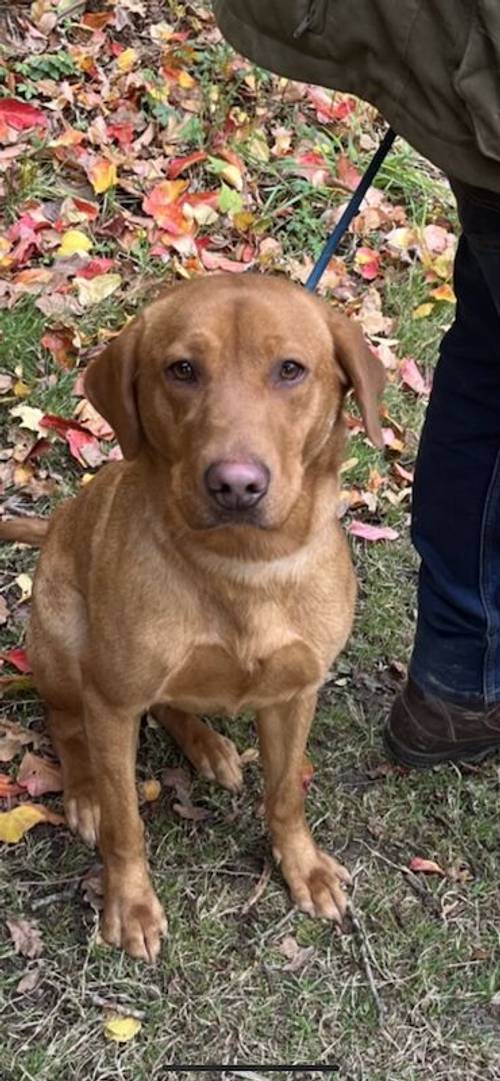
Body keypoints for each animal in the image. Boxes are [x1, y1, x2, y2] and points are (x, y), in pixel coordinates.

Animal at [0, 272, 384, 964]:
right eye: (182, 369)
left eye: (291, 370)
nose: (236, 484)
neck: (242, 566)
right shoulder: (113, 702)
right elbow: (126, 823)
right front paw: (129, 904)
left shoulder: (297, 693)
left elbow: (285, 795)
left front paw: (303, 866)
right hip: (64, 640)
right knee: (68, 725)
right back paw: (86, 790)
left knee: (172, 704)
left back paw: (208, 745)